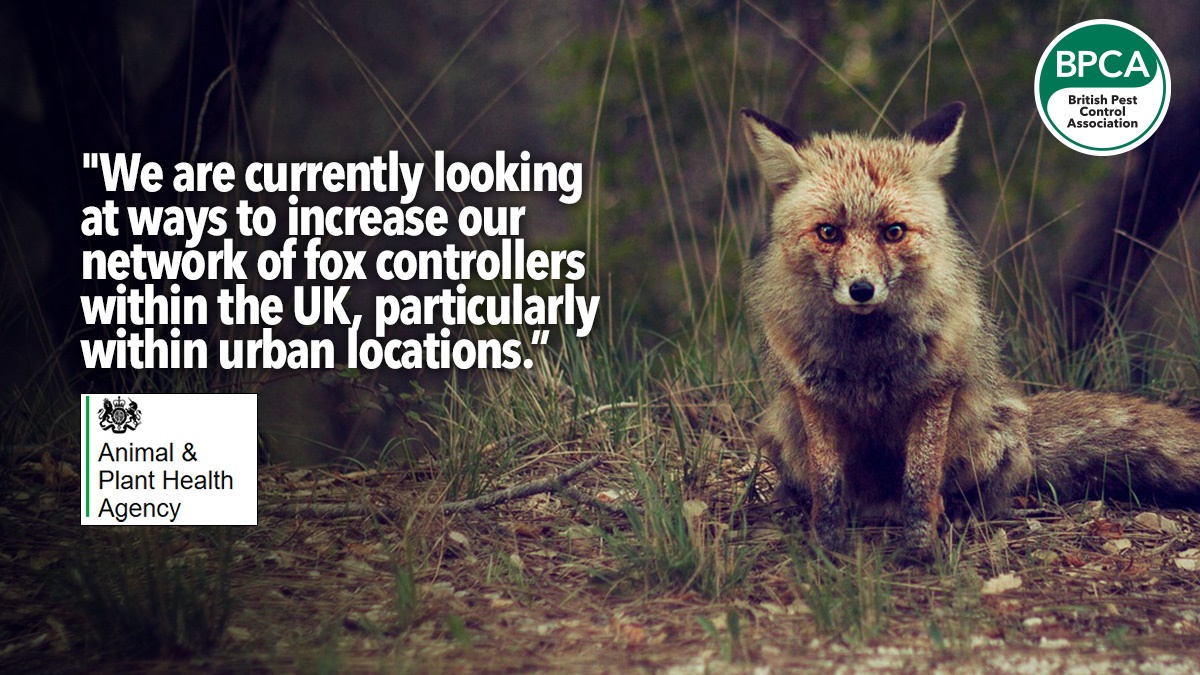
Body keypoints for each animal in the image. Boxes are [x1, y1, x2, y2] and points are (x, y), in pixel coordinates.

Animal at [740, 102, 1200, 558]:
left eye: (893, 232)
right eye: (828, 233)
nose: (861, 289)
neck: (866, 356)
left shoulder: (936, 385)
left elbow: (920, 479)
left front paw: (922, 549)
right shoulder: (812, 391)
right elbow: (828, 484)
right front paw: (826, 544)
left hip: (989, 446)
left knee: (981, 495)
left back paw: (962, 516)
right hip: (783, 435)